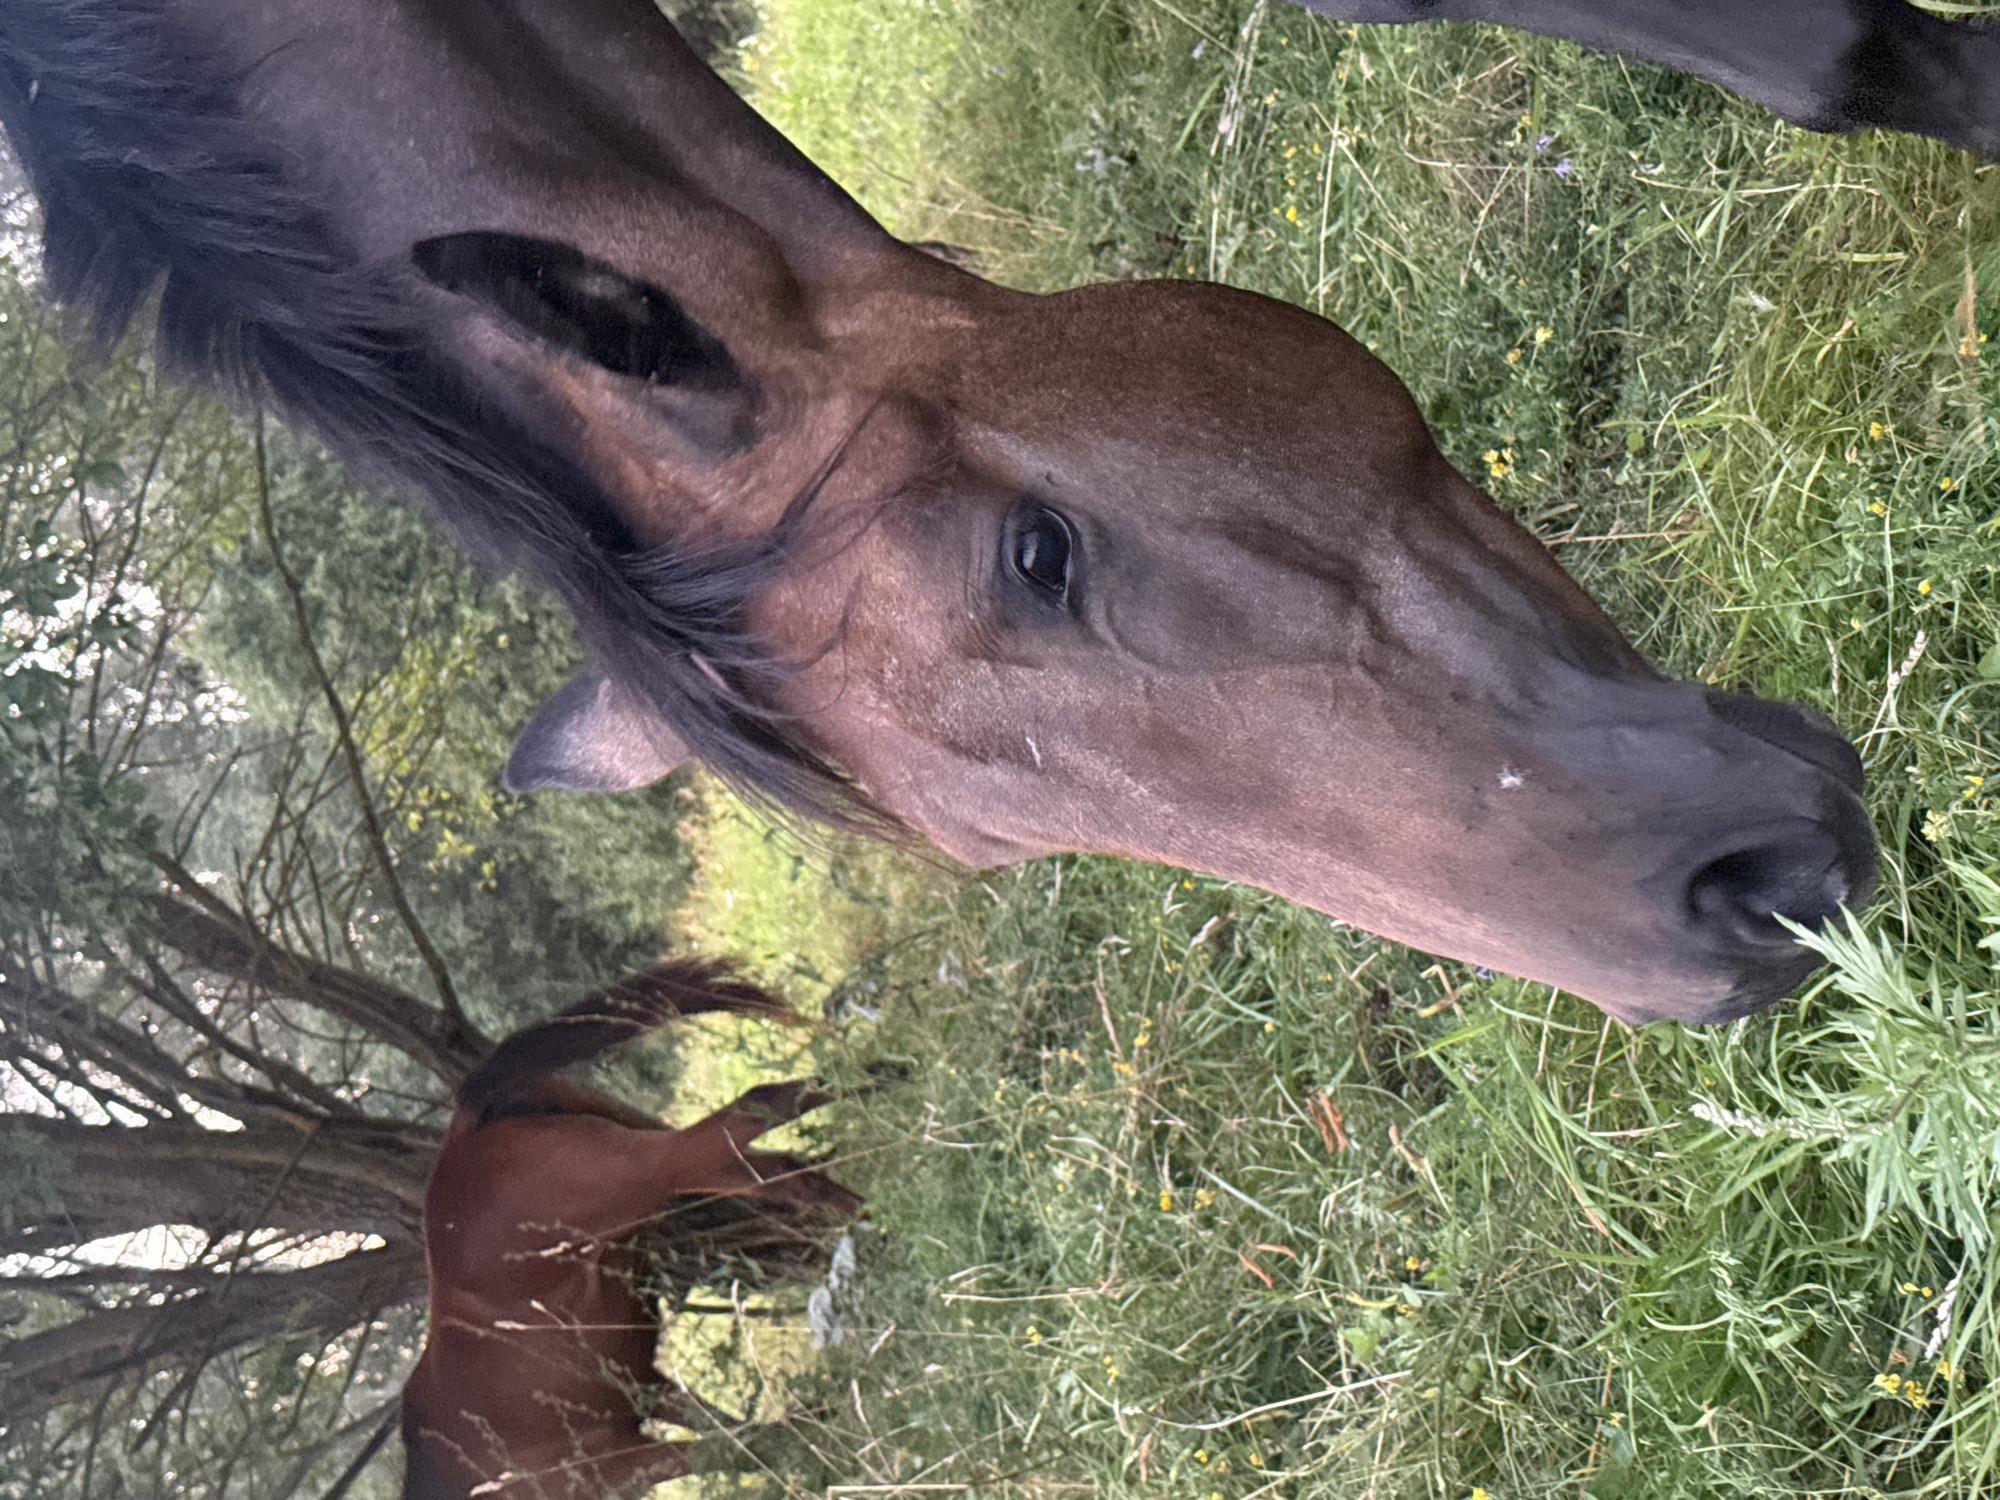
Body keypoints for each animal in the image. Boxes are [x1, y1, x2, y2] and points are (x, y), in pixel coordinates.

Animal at [402, 959, 858, 1500]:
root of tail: (465, 1126)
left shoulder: (622, 1460)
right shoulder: (646, 1391)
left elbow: (731, 1449)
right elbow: (729, 1432)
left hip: (656, 1170)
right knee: (791, 1173)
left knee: (764, 1104)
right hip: (690, 1167)